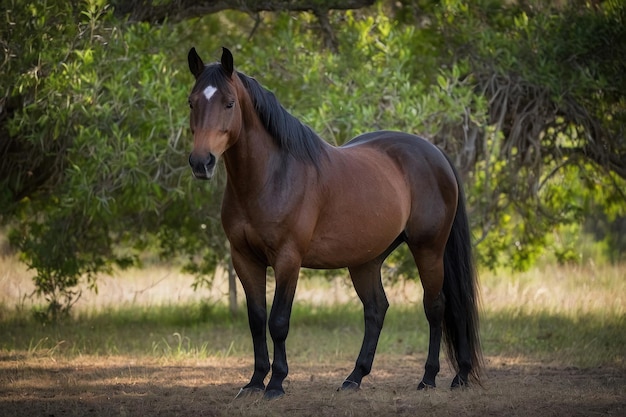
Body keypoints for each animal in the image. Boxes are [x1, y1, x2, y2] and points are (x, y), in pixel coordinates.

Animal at [185, 47, 482, 398]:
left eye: (229, 103)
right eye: (192, 102)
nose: (201, 162)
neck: (271, 177)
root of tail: (435, 153)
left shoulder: (288, 259)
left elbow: (278, 321)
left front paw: (276, 383)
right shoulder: (244, 259)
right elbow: (257, 320)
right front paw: (256, 381)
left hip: (428, 249)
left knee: (437, 306)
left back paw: (438, 377)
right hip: (367, 260)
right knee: (376, 309)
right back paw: (355, 377)